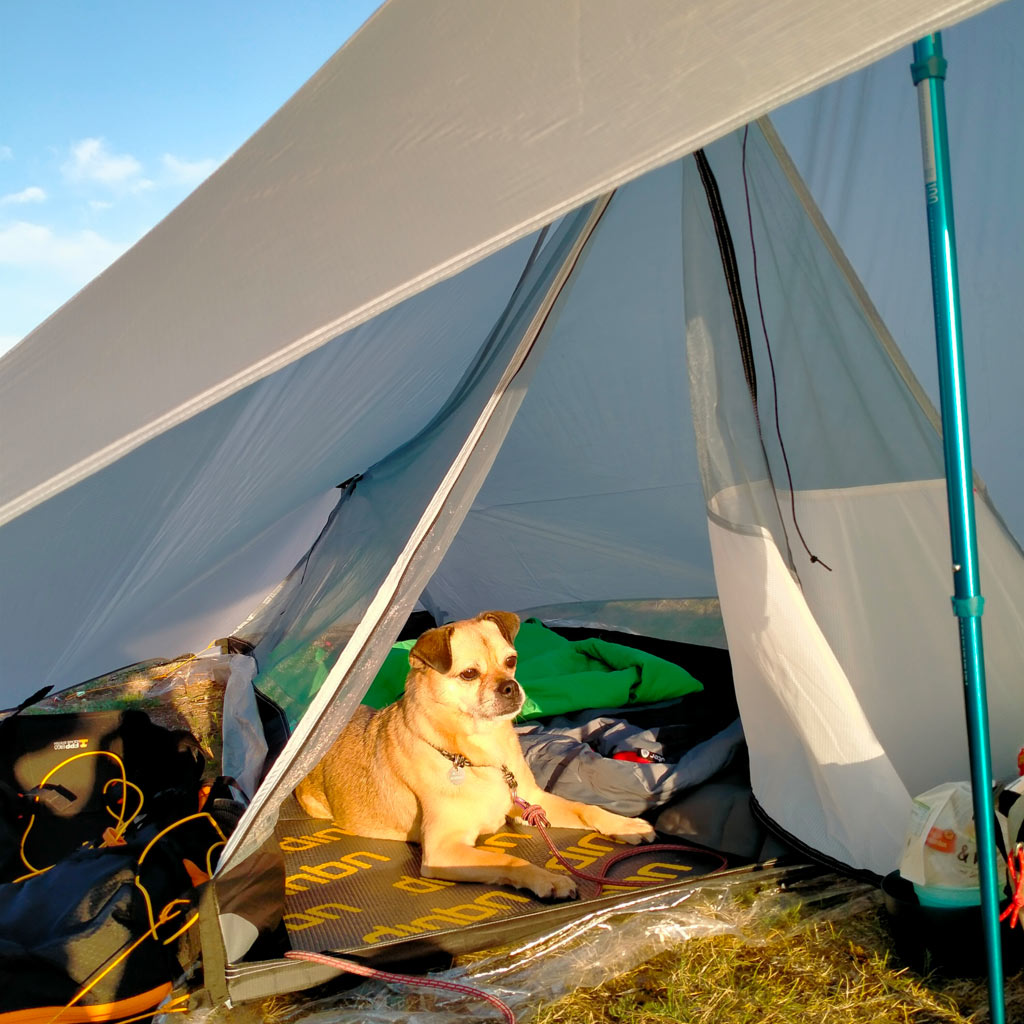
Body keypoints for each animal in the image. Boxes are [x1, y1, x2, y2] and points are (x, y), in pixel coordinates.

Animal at [292, 610, 655, 901]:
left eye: (511, 661)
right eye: (468, 674)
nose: (511, 686)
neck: (481, 752)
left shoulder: (533, 802)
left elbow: (586, 808)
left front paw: (624, 825)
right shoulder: (444, 850)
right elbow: (510, 859)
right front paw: (548, 879)